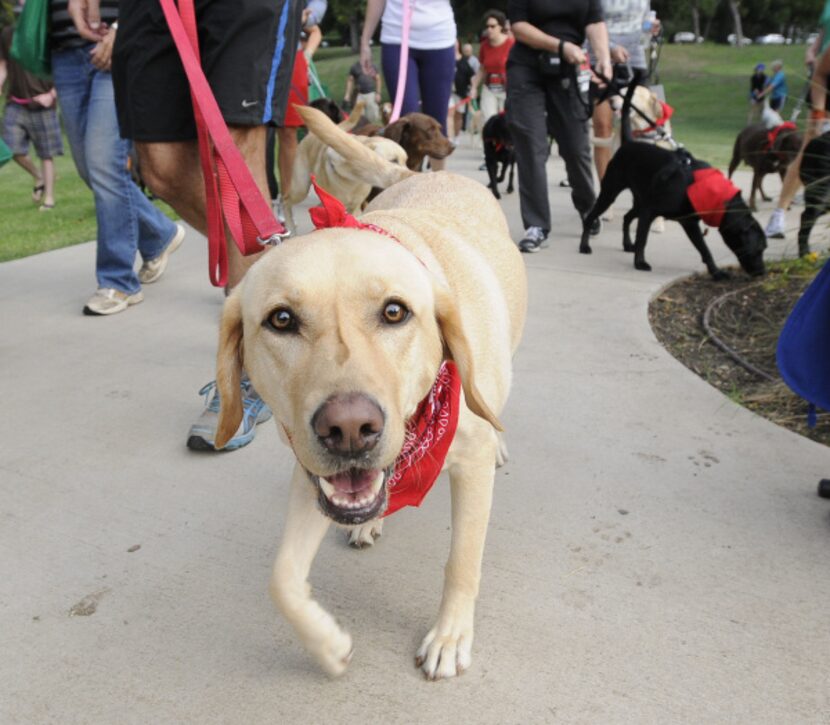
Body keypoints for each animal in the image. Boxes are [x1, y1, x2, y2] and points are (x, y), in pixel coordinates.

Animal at [284, 100, 412, 230]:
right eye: (393, 160)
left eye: (406, 161)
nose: (408, 179)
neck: (354, 180)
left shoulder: (354, 207)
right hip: (300, 189)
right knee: (285, 200)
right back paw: (290, 226)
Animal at [580, 80, 772, 278]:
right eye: (756, 249)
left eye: (764, 248)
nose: (762, 273)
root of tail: (628, 142)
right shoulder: (650, 211)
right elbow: (643, 239)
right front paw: (640, 263)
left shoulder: (688, 222)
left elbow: (704, 250)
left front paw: (716, 272)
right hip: (611, 191)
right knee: (591, 217)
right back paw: (584, 246)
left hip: (640, 200)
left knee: (626, 217)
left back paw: (627, 244)